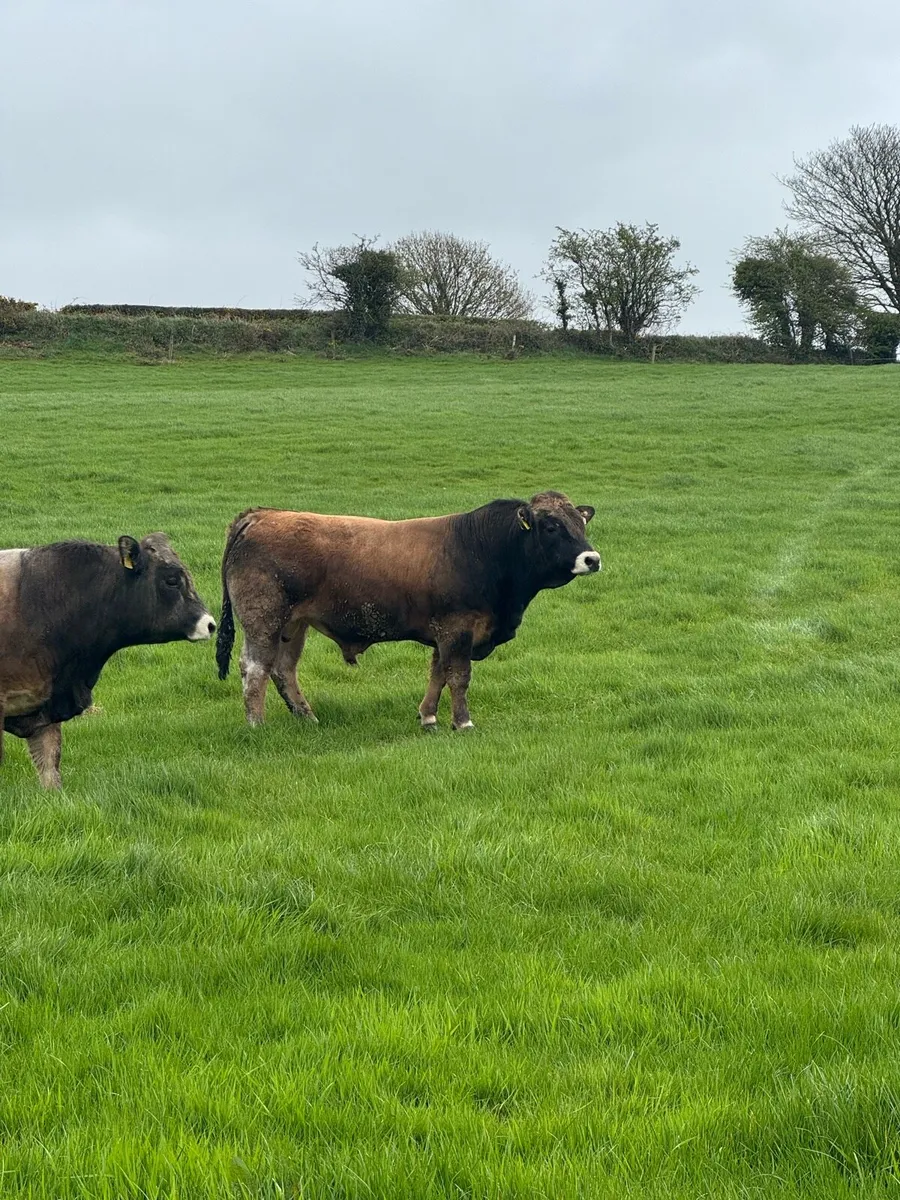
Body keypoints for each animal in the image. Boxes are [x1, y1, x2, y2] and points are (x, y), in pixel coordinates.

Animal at [215, 491, 600, 732]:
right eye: (551, 526)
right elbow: (458, 677)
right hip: (264, 619)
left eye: (581, 524)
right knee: (255, 668)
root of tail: (261, 515)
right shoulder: (457, 629)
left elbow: (438, 674)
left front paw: (428, 717)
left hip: (293, 625)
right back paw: (257, 724)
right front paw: (463, 722)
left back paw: (307, 718)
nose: (592, 559)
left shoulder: (444, 634)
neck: (481, 548)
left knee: (283, 669)